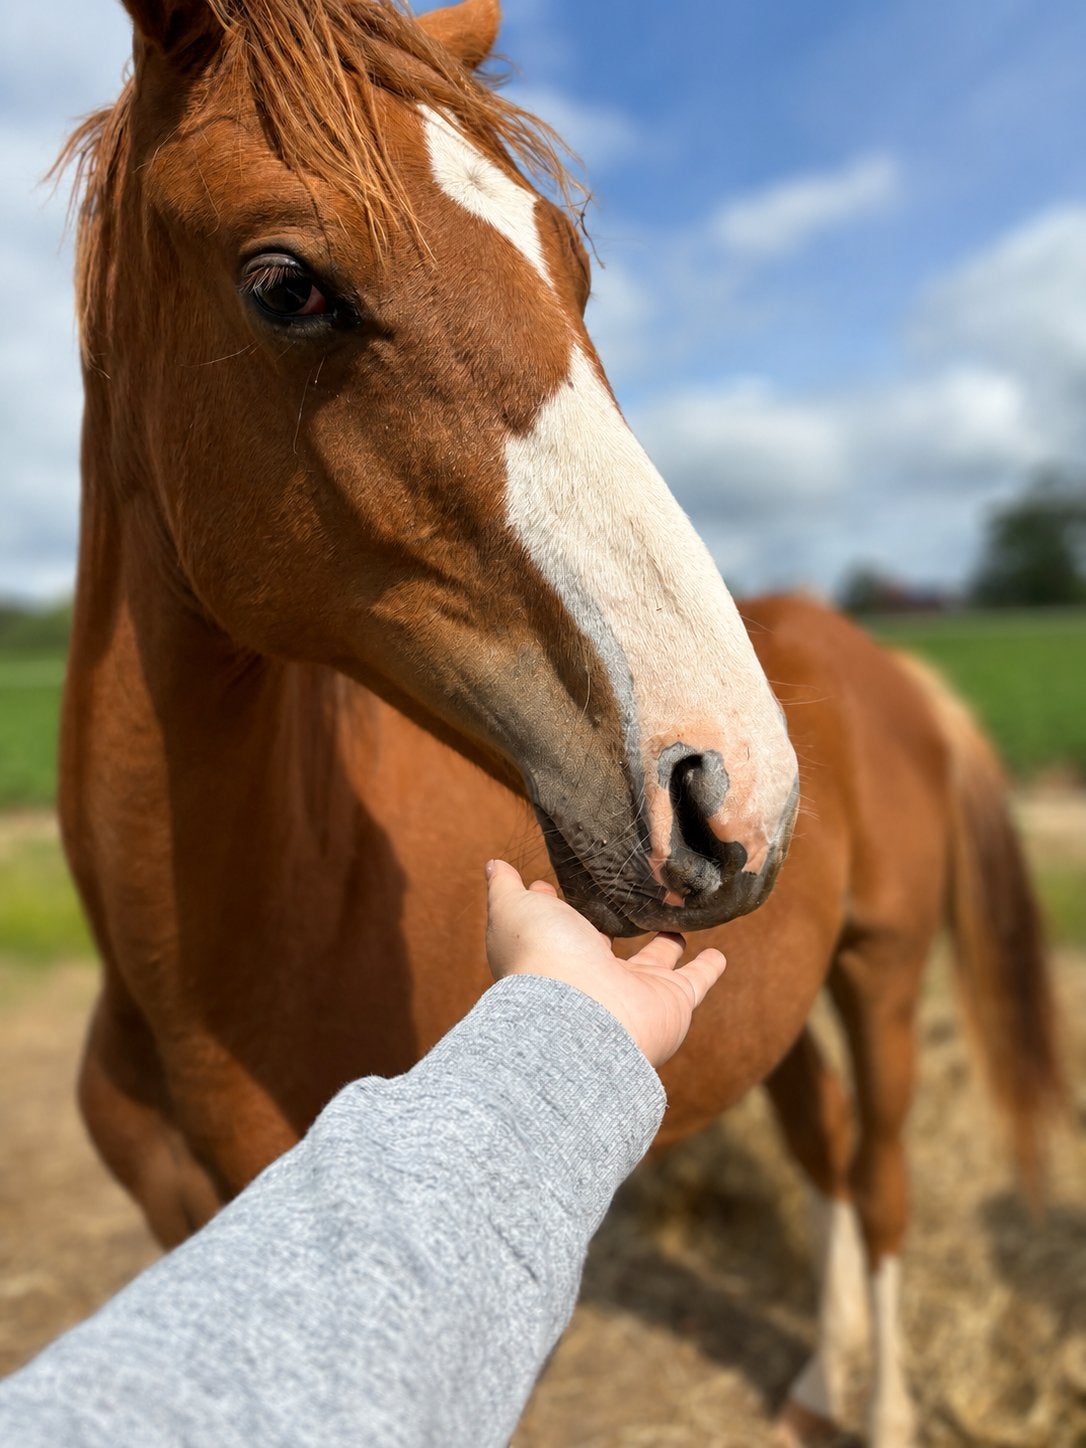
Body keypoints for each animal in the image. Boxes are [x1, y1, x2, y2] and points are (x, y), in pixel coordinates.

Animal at [56, 2, 1064, 1444]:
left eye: (568, 266)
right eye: (286, 285)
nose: (730, 788)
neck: (222, 972)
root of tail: (881, 667)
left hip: (880, 971)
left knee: (876, 1188)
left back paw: (875, 1409)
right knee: (821, 1152)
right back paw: (817, 1377)